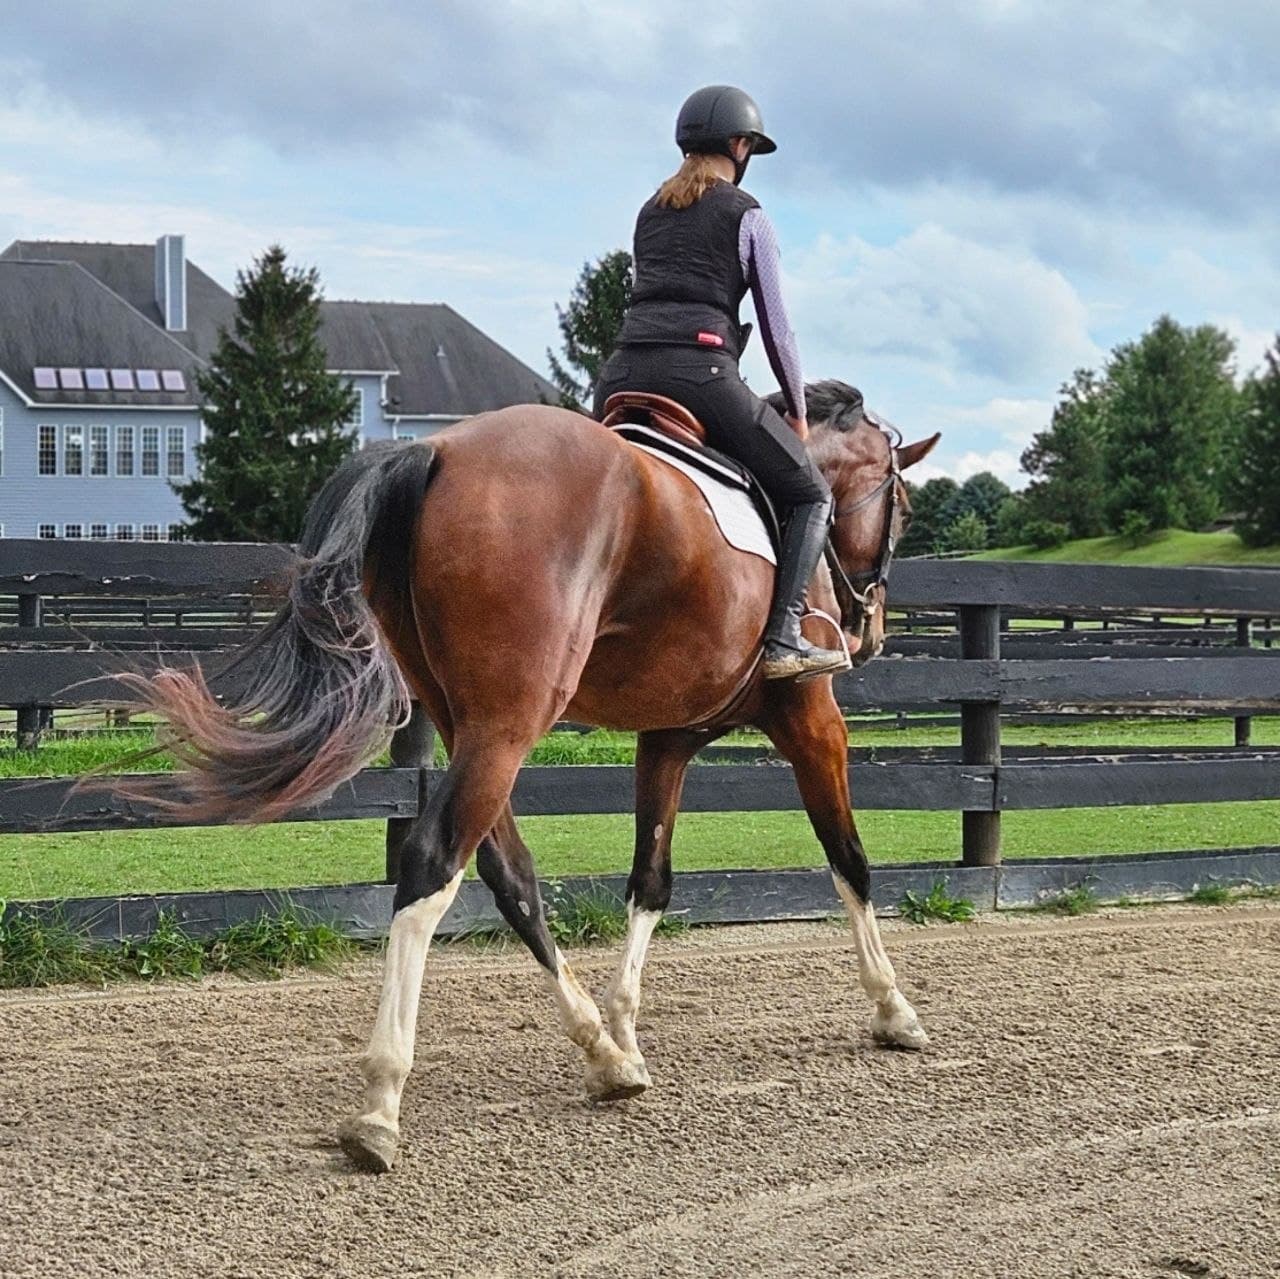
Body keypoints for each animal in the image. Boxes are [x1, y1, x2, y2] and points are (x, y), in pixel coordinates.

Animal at [115, 379, 940, 1173]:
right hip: (508, 724)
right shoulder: (812, 719)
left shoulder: (667, 739)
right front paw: (893, 1008)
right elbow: (849, 860)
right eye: (903, 505)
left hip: (468, 722)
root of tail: (435, 449)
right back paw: (381, 1104)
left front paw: (625, 1025)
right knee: (434, 862)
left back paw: (604, 1055)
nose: (872, 628)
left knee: (506, 871)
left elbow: (651, 880)